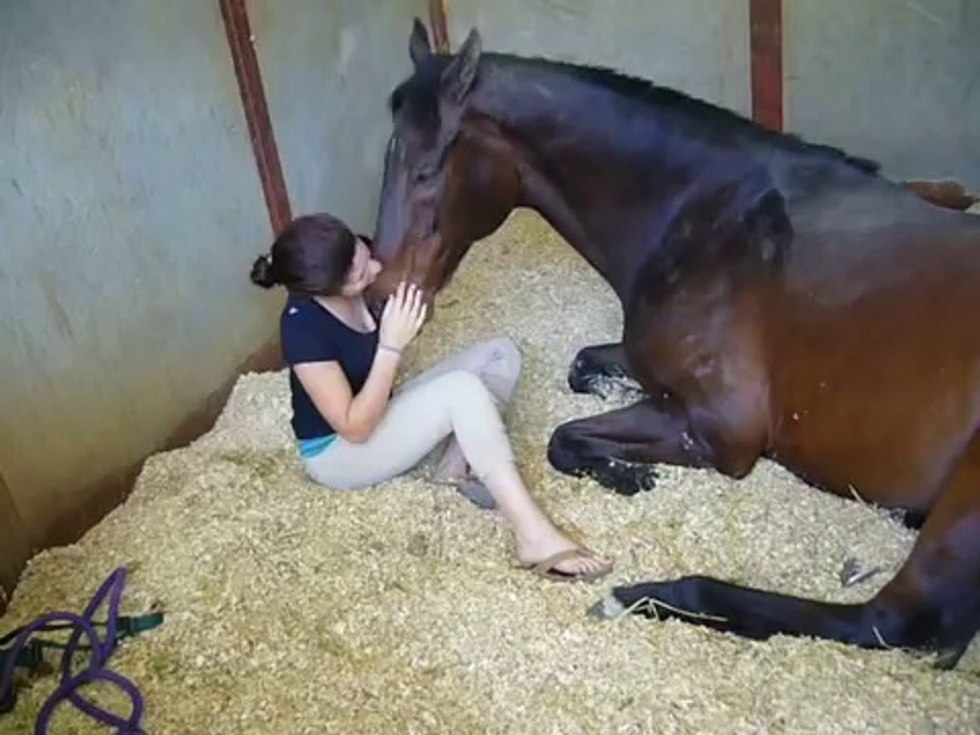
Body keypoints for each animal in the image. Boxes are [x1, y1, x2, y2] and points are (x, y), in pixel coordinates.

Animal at [367, 18, 980, 669]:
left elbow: (564, 438)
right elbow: (581, 371)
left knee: (892, 620)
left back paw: (652, 595)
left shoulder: (720, 432)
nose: (379, 300)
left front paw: (626, 474)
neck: (714, 219)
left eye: (426, 170)